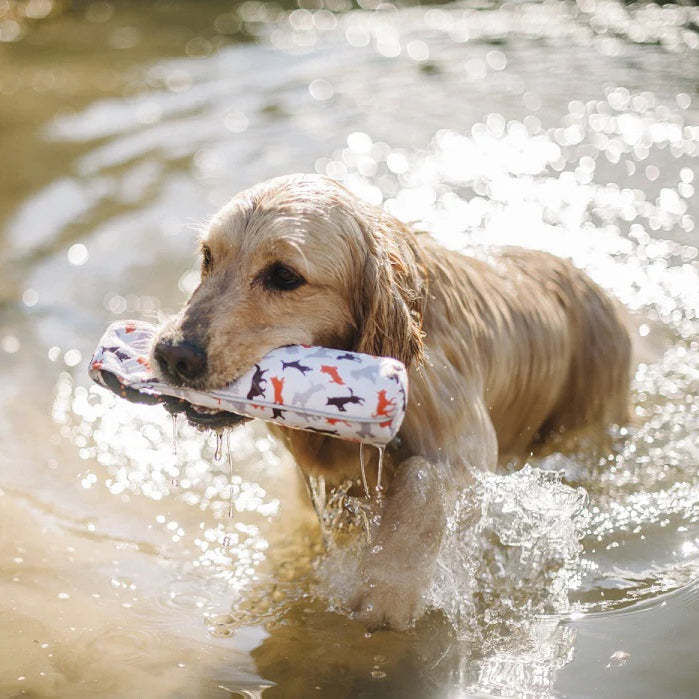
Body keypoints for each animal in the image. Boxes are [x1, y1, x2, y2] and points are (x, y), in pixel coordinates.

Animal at [154, 174, 636, 628]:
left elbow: (425, 482)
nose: (171, 354)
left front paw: (388, 587)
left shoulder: (466, 445)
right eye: (207, 258)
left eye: (285, 276)